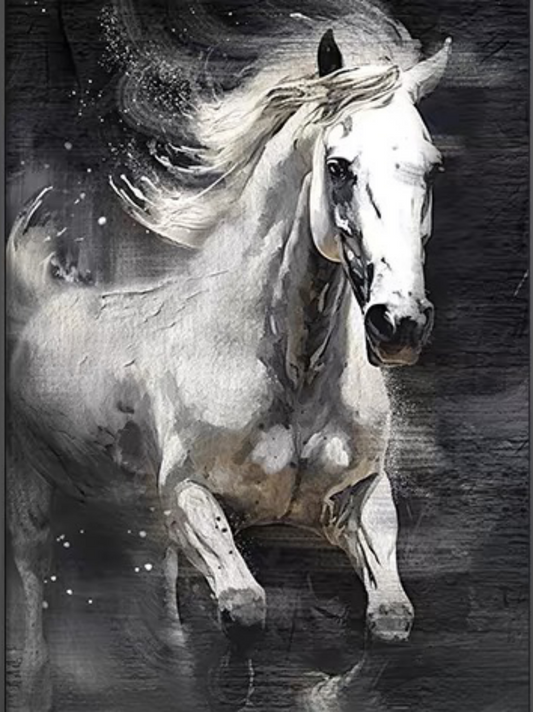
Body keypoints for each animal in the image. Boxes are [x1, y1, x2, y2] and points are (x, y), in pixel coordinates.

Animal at [7, 21, 451, 711]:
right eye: (339, 167)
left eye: (430, 167)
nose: (398, 324)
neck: (288, 372)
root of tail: (43, 301)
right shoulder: (192, 497)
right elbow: (244, 608)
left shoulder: (358, 499)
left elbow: (390, 621)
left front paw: (324, 692)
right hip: (31, 489)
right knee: (31, 578)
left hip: (146, 514)